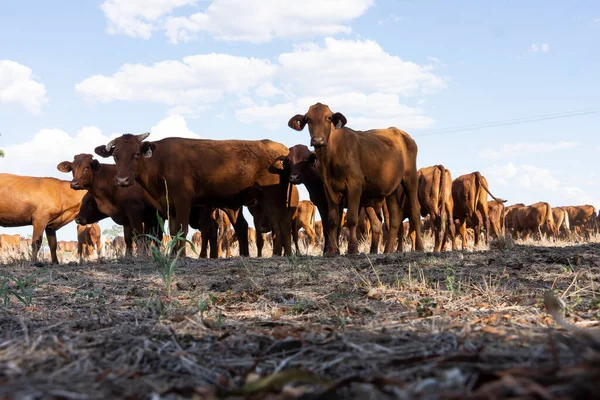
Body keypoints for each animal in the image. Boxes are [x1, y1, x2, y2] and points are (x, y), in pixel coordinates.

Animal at [95, 133, 292, 256]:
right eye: (115, 156)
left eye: (136, 153)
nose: (121, 181)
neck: (161, 162)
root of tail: (281, 148)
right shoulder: (170, 206)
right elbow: (174, 231)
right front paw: (173, 254)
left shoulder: (183, 199)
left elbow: (182, 229)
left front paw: (181, 255)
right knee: (268, 224)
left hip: (274, 197)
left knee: (282, 222)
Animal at [288, 102, 422, 253]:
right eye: (308, 119)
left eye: (328, 118)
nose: (317, 140)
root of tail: (401, 133)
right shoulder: (329, 191)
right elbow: (332, 222)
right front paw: (332, 251)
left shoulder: (354, 186)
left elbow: (351, 219)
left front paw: (352, 249)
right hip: (391, 190)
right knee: (394, 218)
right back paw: (387, 250)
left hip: (410, 179)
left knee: (414, 211)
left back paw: (419, 247)